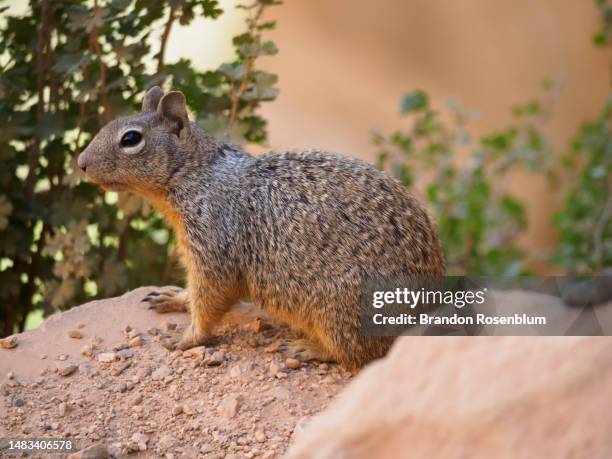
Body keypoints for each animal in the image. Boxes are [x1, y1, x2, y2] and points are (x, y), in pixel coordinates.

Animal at [80, 85, 444, 366]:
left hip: (340, 314)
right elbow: (194, 292)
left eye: (130, 139)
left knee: (356, 356)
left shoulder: (213, 247)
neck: (199, 175)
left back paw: (306, 348)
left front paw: (186, 338)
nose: (81, 163)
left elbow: (209, 300)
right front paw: (173, 296)